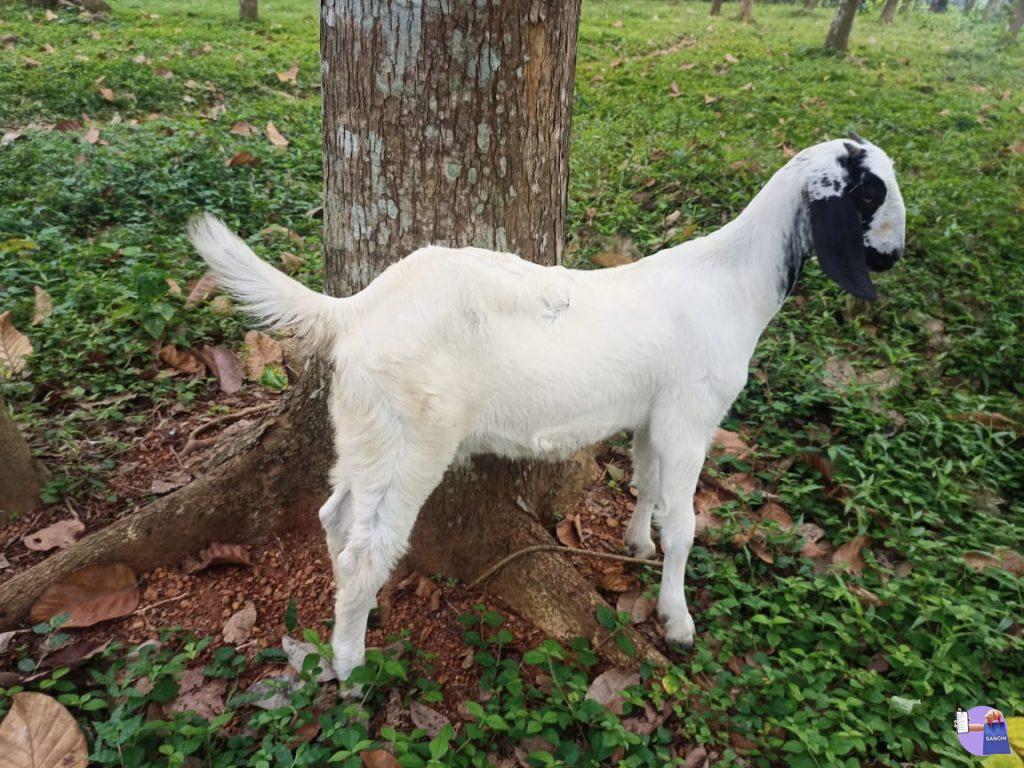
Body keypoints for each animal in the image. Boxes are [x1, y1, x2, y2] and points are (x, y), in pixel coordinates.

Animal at [189, 134, 906, 685]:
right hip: (409, 440)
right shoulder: (689, 416)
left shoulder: (652, 416)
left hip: (363, 432)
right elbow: (685, 524)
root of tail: (356, 308)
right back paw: (351, 666)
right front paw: (676, 621)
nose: (893, 256)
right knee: (367, 548)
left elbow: (646, 483)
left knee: (335, 518)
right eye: (870, 193)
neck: (730, 282)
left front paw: (636, 542)